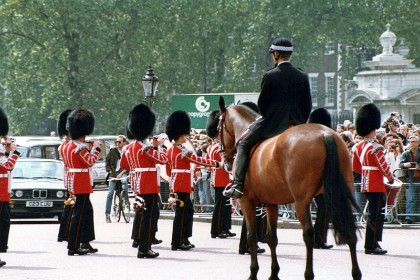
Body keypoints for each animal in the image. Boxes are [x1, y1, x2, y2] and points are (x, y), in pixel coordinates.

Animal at [217, 97, 360, 280]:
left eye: (218, 127)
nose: (226, 162)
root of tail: (325, 134)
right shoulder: (271, 203)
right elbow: (271, 238)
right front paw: (274, 273)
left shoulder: (246, 202)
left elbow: (252, 236)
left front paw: (253, 272)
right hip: (341, 195)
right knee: (349, 229)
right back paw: (356, 273)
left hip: (301, 202)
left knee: (308, 234)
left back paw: (308, 274)